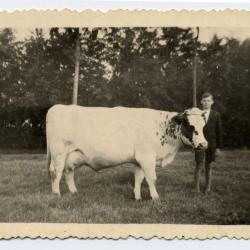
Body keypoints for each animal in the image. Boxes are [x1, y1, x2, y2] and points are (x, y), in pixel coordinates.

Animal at [46, 104, 207, 200]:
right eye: (190, 126)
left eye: (203, 126)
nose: (204, 144)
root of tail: (56, 107)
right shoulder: (147, 156)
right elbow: (151, 178)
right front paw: (155, 198)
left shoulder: (139, 160)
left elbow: (138, 178)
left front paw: (137, 197)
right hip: (59, 154)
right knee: (56, 172)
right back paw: (56, 194)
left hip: (73, 156)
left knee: (68, 172)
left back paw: (74, 192)